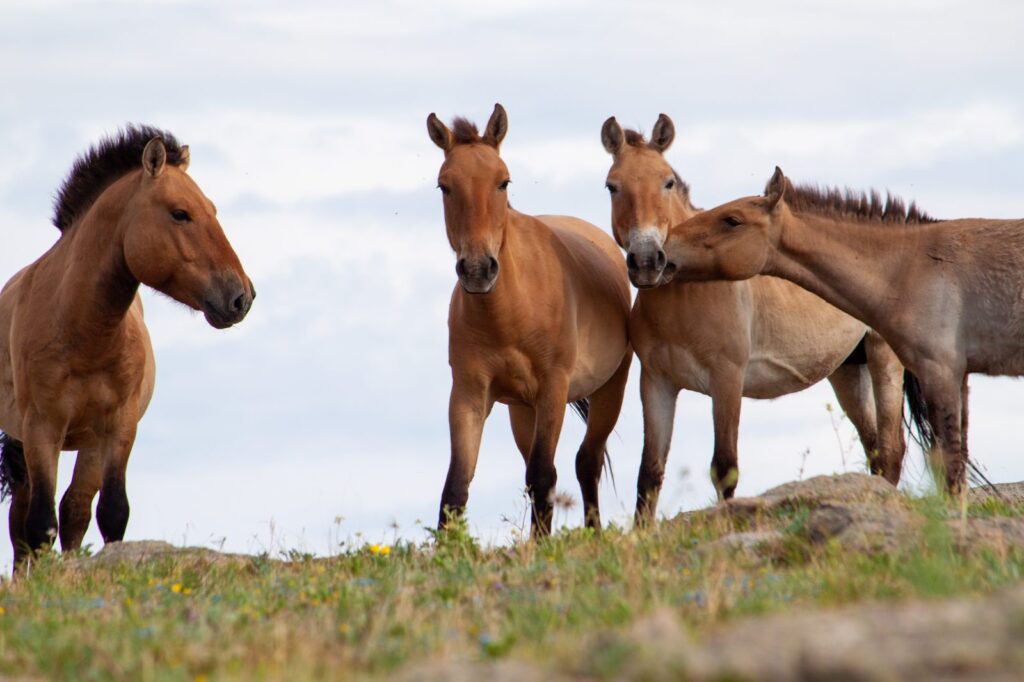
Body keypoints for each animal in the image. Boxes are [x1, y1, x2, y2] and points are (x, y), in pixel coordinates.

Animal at [0, 125, 254, 566]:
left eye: (213, 210)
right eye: (180, 213)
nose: (242, 296)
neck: (83, 333)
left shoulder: (118, 427)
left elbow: (110, 512)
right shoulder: (41, 429)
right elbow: (39, 524)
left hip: (89, 444)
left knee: (75, 508)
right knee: (24, 521)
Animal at [427, 104, 632, 536]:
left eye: (502, 182)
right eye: (444, 186)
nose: (477, 270)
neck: (507, 314)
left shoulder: (553, 388)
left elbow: (542, 475)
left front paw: (543, 544)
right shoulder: (469, 396)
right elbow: (456, 487)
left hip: (610, 391)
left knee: (586, 461)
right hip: (521, 410)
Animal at [600, 115, 906, 523]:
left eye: (667, 181)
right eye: (612, 186)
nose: (648, 261)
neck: (685, 295)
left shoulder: (727, 379)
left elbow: (724, 467)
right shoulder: (657, 383)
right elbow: (649, 473)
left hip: (883, 358)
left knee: (890, 450)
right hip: (847, 371)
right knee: (874, 449)